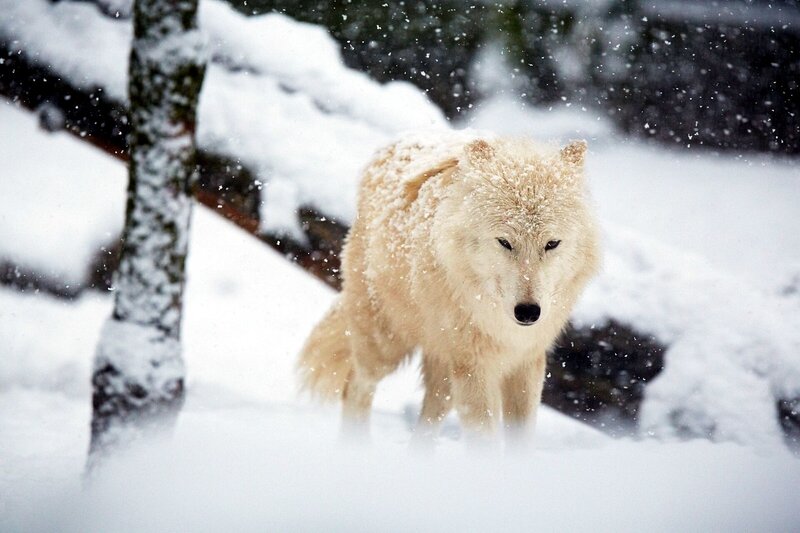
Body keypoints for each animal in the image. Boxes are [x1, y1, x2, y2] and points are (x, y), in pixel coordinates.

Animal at [298, 132, 600, 442]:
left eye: (552, 244)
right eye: (505, 242)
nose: (528, 312)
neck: (501, 328)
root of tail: (394, 143)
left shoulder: (526, 363)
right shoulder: (474, 367)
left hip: (444, 375)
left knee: (426, 424)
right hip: (386, 345)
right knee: (355, 388)